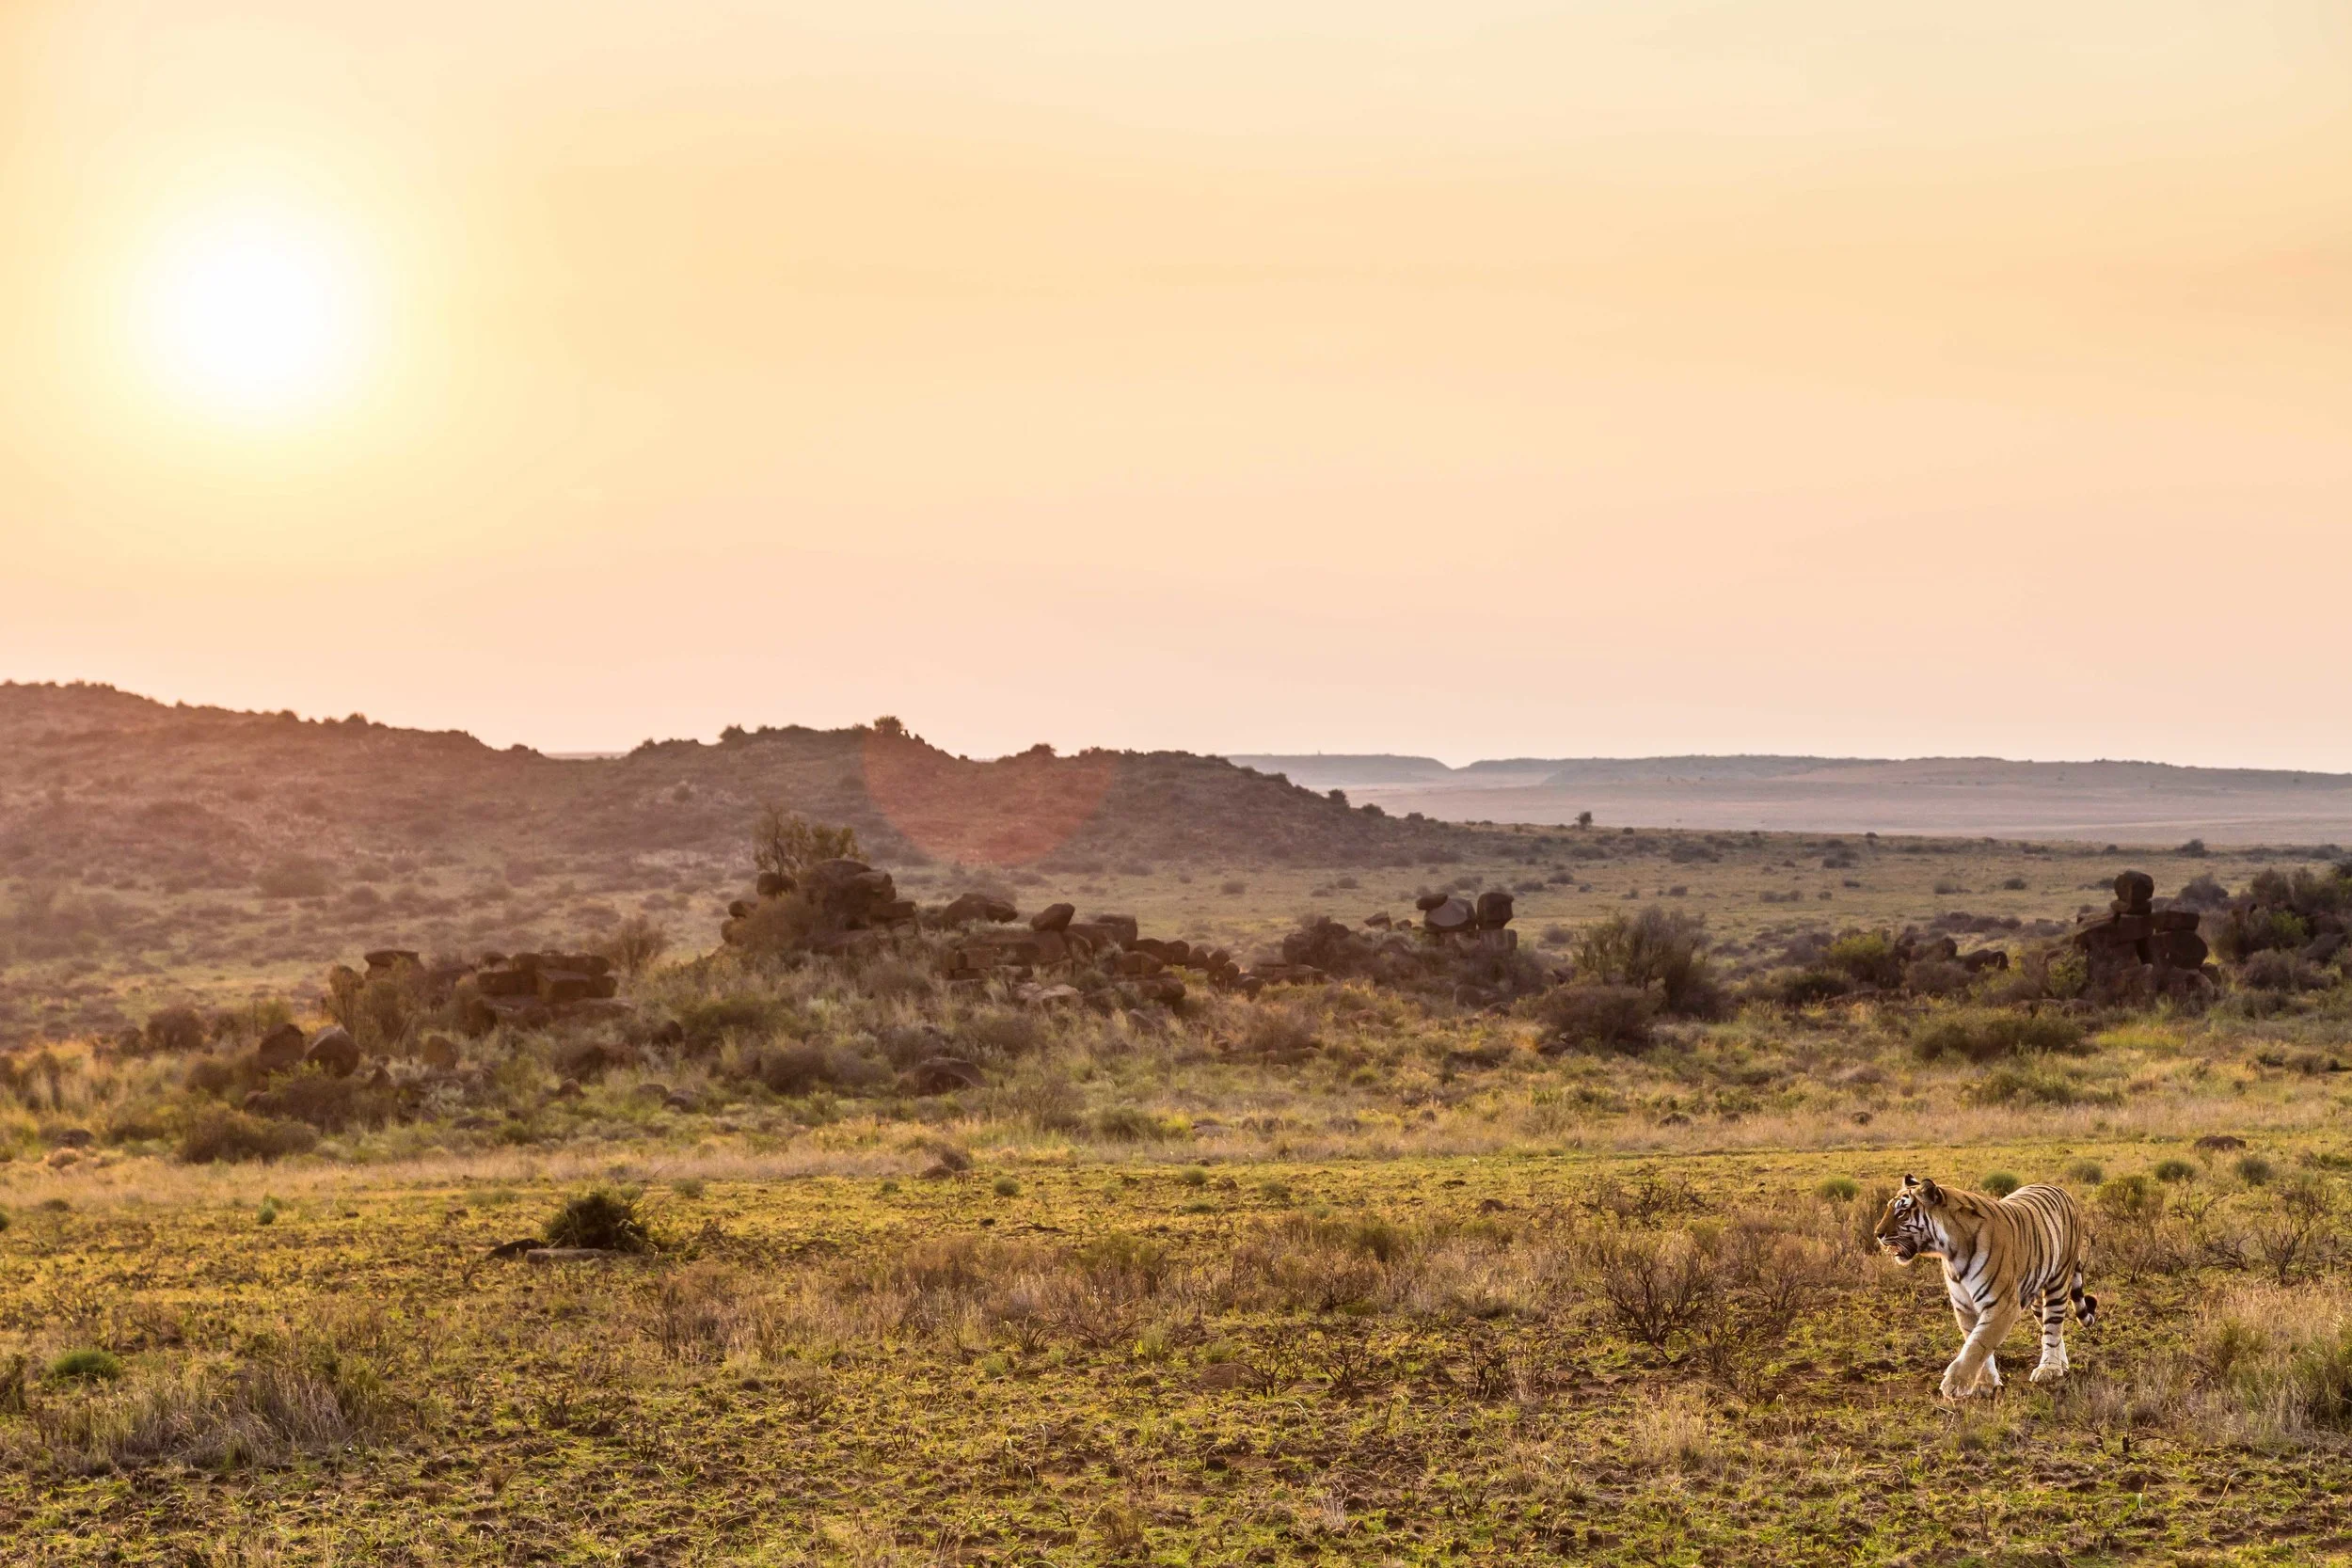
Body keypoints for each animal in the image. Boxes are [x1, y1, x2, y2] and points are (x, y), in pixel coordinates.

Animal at [1873, 1174, 2098, 1399]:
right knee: (2052, 1329)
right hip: (2035, 1295)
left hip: (2058, 1282)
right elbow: (1975, 1341)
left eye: (1902, 1213)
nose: (1877, 1234)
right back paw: (2061, 1365)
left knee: (2053, 1327)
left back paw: (2049, 1369)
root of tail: (2061, 1190)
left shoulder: (2002, 1304)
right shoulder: (1964, 1306)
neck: (1951, 1253)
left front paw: (1954, 1383)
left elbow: (1979, 1343)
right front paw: (1985, 1383)